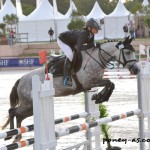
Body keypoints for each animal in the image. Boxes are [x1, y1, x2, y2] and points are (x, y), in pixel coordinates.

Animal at [0, 36, 139, 142]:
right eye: (127, 52)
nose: (137, 69)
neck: (96, 58)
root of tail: (20, 80)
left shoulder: (92, 83)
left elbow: (110, 84)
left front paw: (98, 97)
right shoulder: (89, 82)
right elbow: (110, 83)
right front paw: (100, 97)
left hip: (31, 108)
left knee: (18, 116)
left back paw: (17, 136)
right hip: (29, 104)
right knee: (12, 111)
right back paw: (10, 135)